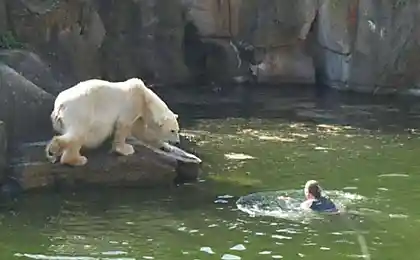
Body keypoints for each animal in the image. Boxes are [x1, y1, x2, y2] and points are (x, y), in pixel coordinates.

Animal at [45, 77, 180, 167]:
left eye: (178, 130)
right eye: (172, 131)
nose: (178, 142)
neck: (145, 97)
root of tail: (60, 105)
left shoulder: (139, 112)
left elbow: (141, 132)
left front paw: (167, 147)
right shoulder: (133, 103)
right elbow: (123, 125)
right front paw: (125, 149)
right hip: (80, 110)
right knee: (79, 133)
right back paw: (75, 158)